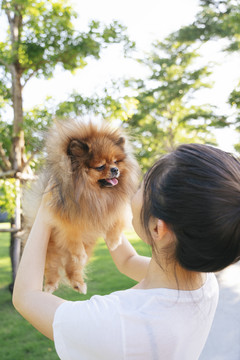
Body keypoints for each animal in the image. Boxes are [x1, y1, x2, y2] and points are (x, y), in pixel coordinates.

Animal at [23, 119, 140, 294]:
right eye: (100, 166)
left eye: (115, 162)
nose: (115, 170)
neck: (93, 193)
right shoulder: (64, 219)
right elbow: (74, 235)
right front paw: (79, 253)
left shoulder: (116, 209)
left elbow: (117, 221)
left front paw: (113, 241)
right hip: (49, 249)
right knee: (52, 267)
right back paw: (51, 284)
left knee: (73, 268)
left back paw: (79, 284)